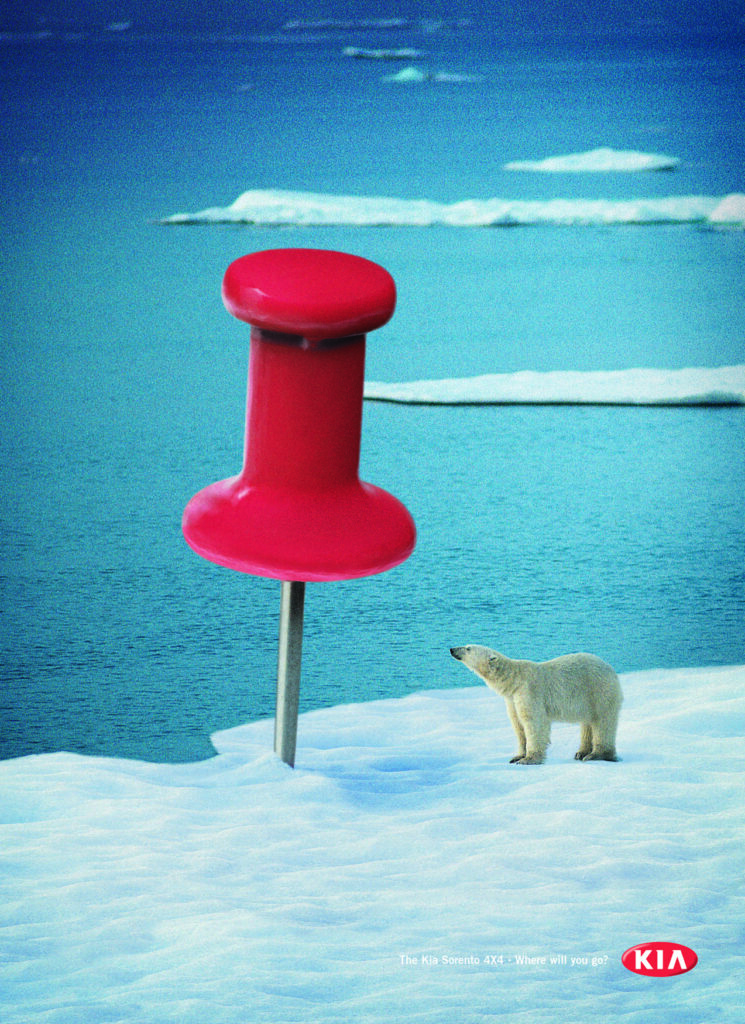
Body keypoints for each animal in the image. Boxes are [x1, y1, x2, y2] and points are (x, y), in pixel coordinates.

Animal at [450, 643, 618, 765]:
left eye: (468, 648)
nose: (452, 649)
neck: (513, 680)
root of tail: (611, 668)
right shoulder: (512, 699)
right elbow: (518, 725)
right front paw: (517, 756)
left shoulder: (529, 691)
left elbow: (533, 722)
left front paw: (529, 759)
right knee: (587, 723)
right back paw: (581, 752)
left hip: (598, 691)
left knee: (602, 722)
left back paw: (596, 754)